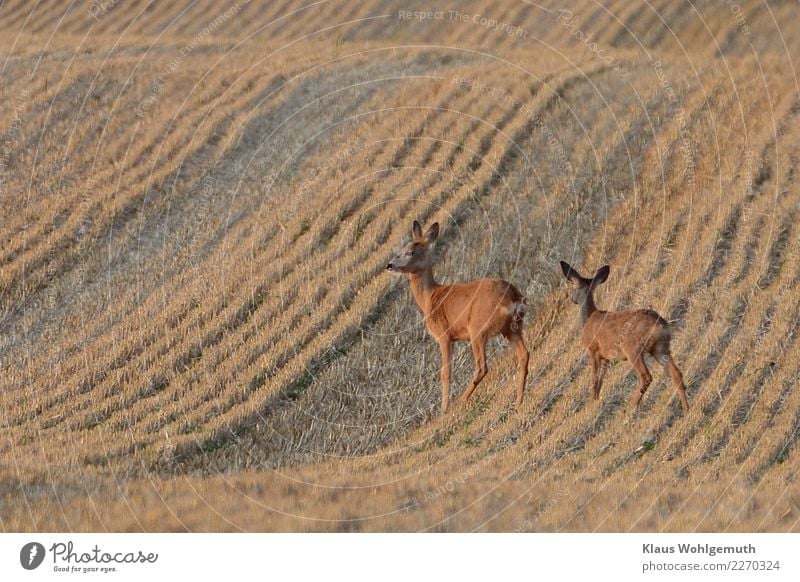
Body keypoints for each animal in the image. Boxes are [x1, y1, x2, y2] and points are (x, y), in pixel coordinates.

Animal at [390, 221, 532, 418]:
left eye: (410, 251)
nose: (389, 264)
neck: (429, 298)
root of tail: (512, 295)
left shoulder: (444, 335)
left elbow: (445, 372)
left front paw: (443, 409)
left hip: (477, 328)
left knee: (482, 366)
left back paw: (460, 402)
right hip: (512, 328)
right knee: (524, 355)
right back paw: (517, 404)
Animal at [560, 262, 692, 412]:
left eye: (572, 287)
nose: (572, 299)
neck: (588, 319)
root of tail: (659, 324)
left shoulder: (593, 350)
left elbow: (594, 380)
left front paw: (591, 403)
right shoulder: (606, 356)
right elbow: (601, 380)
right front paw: (596, 401)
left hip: (632, 349)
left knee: (646, 376)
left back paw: (631, 406)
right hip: (660, 347)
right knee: (676, 373)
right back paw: (686, 408)